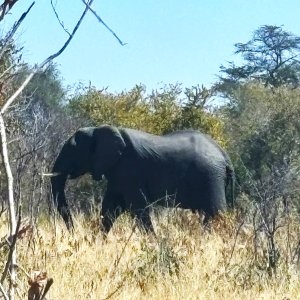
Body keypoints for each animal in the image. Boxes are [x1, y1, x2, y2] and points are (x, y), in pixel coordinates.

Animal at [51, 124, 234, 232]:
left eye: (72, 150)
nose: (74, 232)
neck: (100, 129)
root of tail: (224, 154)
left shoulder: (131, 169)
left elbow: (138, 208)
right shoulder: (118, 173)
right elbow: (110, 208)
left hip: (211, 177)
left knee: (215, 213)